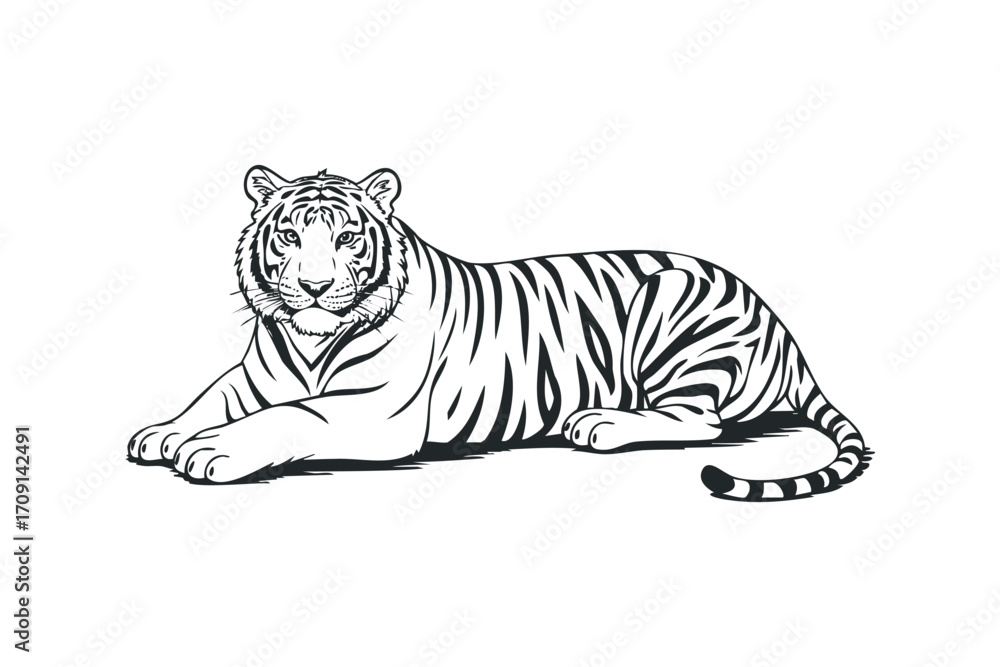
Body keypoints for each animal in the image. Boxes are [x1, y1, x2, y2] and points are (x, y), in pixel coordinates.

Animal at [128, 165, 868, 501]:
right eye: (289, 235)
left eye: (345, 238)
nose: (312, 287)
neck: (310, 340)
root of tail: (786, 334)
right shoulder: (255, 376)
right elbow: (214, 397)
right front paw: (163, 433)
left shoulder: (376, 412)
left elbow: (290, 416)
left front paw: (210, 451)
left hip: (673, 307)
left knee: (700, 422)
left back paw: (600, 422)